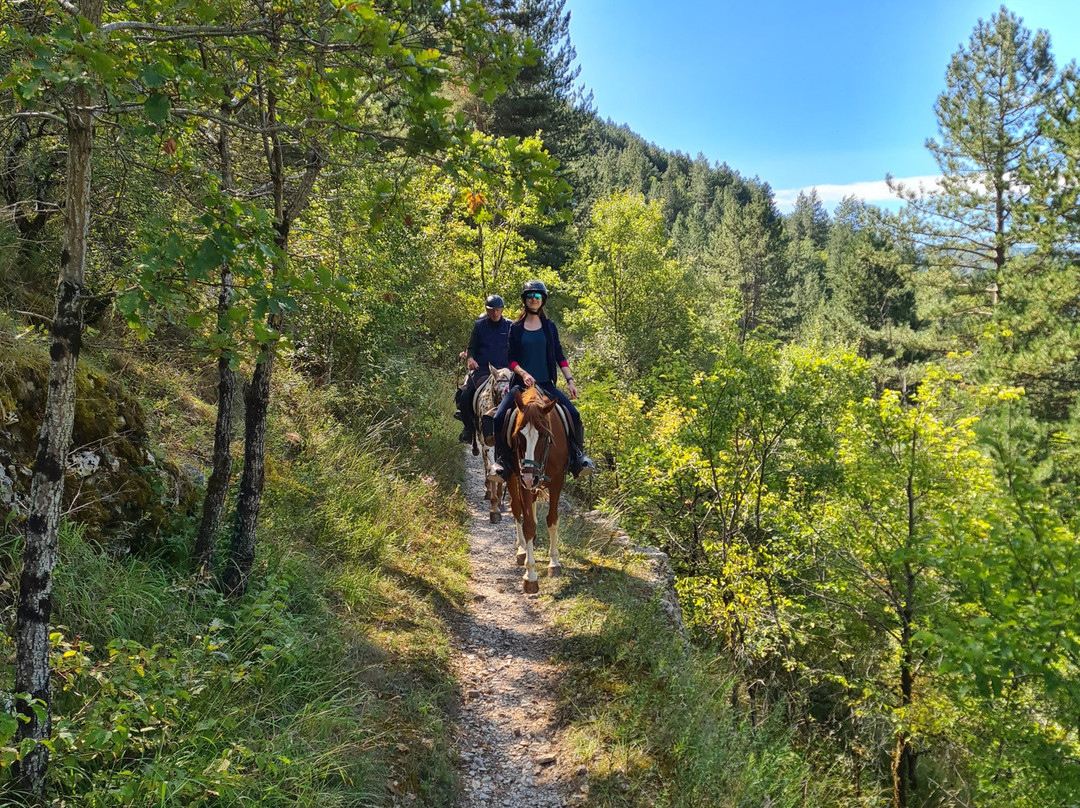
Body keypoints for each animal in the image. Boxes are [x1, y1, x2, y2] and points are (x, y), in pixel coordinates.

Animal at [470, 364, 513, 522]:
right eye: (496, 390)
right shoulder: (488, 445)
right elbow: (492, 468)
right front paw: (494, 510)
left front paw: (500, 502)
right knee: (485, 464)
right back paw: (488, 491)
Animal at [506, 385, 568, 594]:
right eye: (518, 435)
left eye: (544, 435)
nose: (529, 476)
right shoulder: (523, 482)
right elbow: (529, 526)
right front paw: (530, 576)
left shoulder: (557, 482)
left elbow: (552, 520)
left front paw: (554, 563)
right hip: (515, 478)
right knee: (517, 509)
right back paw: (522, 550)